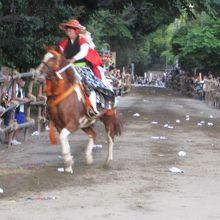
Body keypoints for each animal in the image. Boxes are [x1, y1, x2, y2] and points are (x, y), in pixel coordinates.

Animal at [36, 46, 122, 174]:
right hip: (85, 123)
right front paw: (68, 165)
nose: (37, 74)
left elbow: (63, 137)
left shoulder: (73, 123)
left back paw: (108, 161)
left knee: (110, 138)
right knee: (93, 134)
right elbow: (63, 140)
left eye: (53, 58)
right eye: (44, 57)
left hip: (108, 119)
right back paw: (89, 157)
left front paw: (68, 162)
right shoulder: (59, 125)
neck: (60, 94)